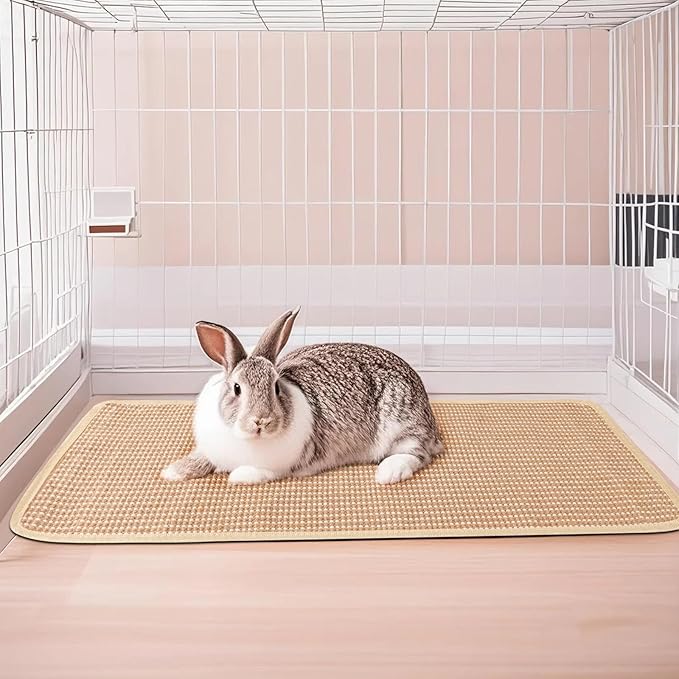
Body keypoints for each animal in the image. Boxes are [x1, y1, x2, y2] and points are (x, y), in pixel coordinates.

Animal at [161, 307, 443, 485]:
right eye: (237, 388)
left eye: (276, 387)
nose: (261, 421)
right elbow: (200, 458)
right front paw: (172, 472)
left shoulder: (281, 465)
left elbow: (259, 472)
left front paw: (238, 476)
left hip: (401, 424)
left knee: (418, 454)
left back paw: (388, 473)